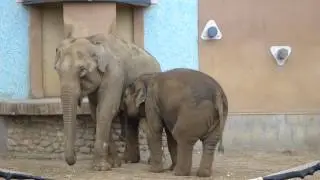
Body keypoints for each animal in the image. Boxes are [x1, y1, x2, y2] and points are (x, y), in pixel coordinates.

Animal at [54, 29, 162, 172]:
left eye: (82, 70)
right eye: (57, 70)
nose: (75, 158)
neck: (92, 41)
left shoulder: (115, 74)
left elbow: (106, 109)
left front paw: (100, 168)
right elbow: (96, 112)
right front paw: (114, 164)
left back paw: (147, 161)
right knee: (131, 120)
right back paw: (129, 160)